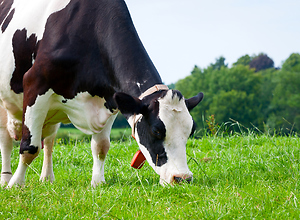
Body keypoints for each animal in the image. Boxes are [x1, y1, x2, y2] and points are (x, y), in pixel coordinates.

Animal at [0, 0, 203, 187]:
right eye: (156, 131)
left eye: (190, 131)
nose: (182, 178)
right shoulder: (34, 84)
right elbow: (30, 147)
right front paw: (16, 184)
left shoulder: (110, 101)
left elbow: (101, 146)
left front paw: (97, 183)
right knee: (6, 141)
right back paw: (6, 179)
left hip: (51, 112)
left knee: (49, 141)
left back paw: (47, 178)